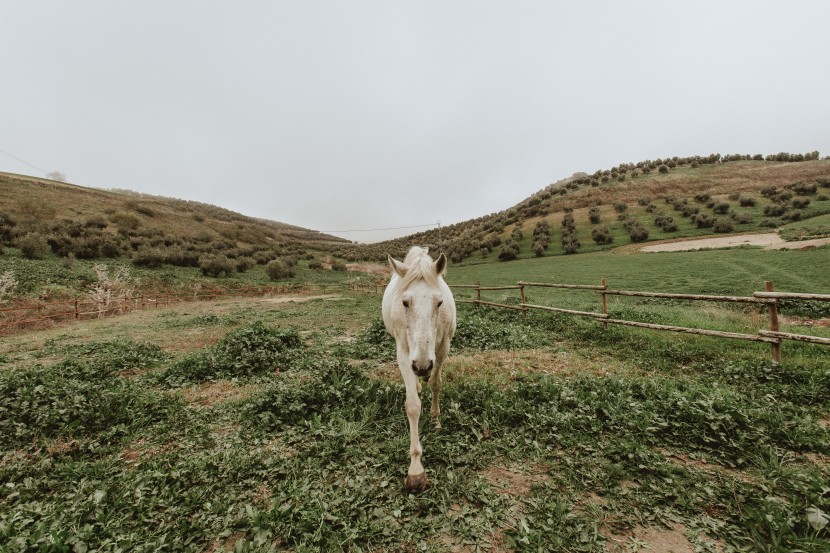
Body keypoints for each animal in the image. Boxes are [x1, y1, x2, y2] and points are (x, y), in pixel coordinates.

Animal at [382, 246, 456, 492]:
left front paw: (435, 419)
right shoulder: (403, 352)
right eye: (405, 302)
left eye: (439, 303)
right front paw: (415, 471)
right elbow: (412, 405)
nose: (422, 366)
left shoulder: (443, 348)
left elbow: (436, 383)